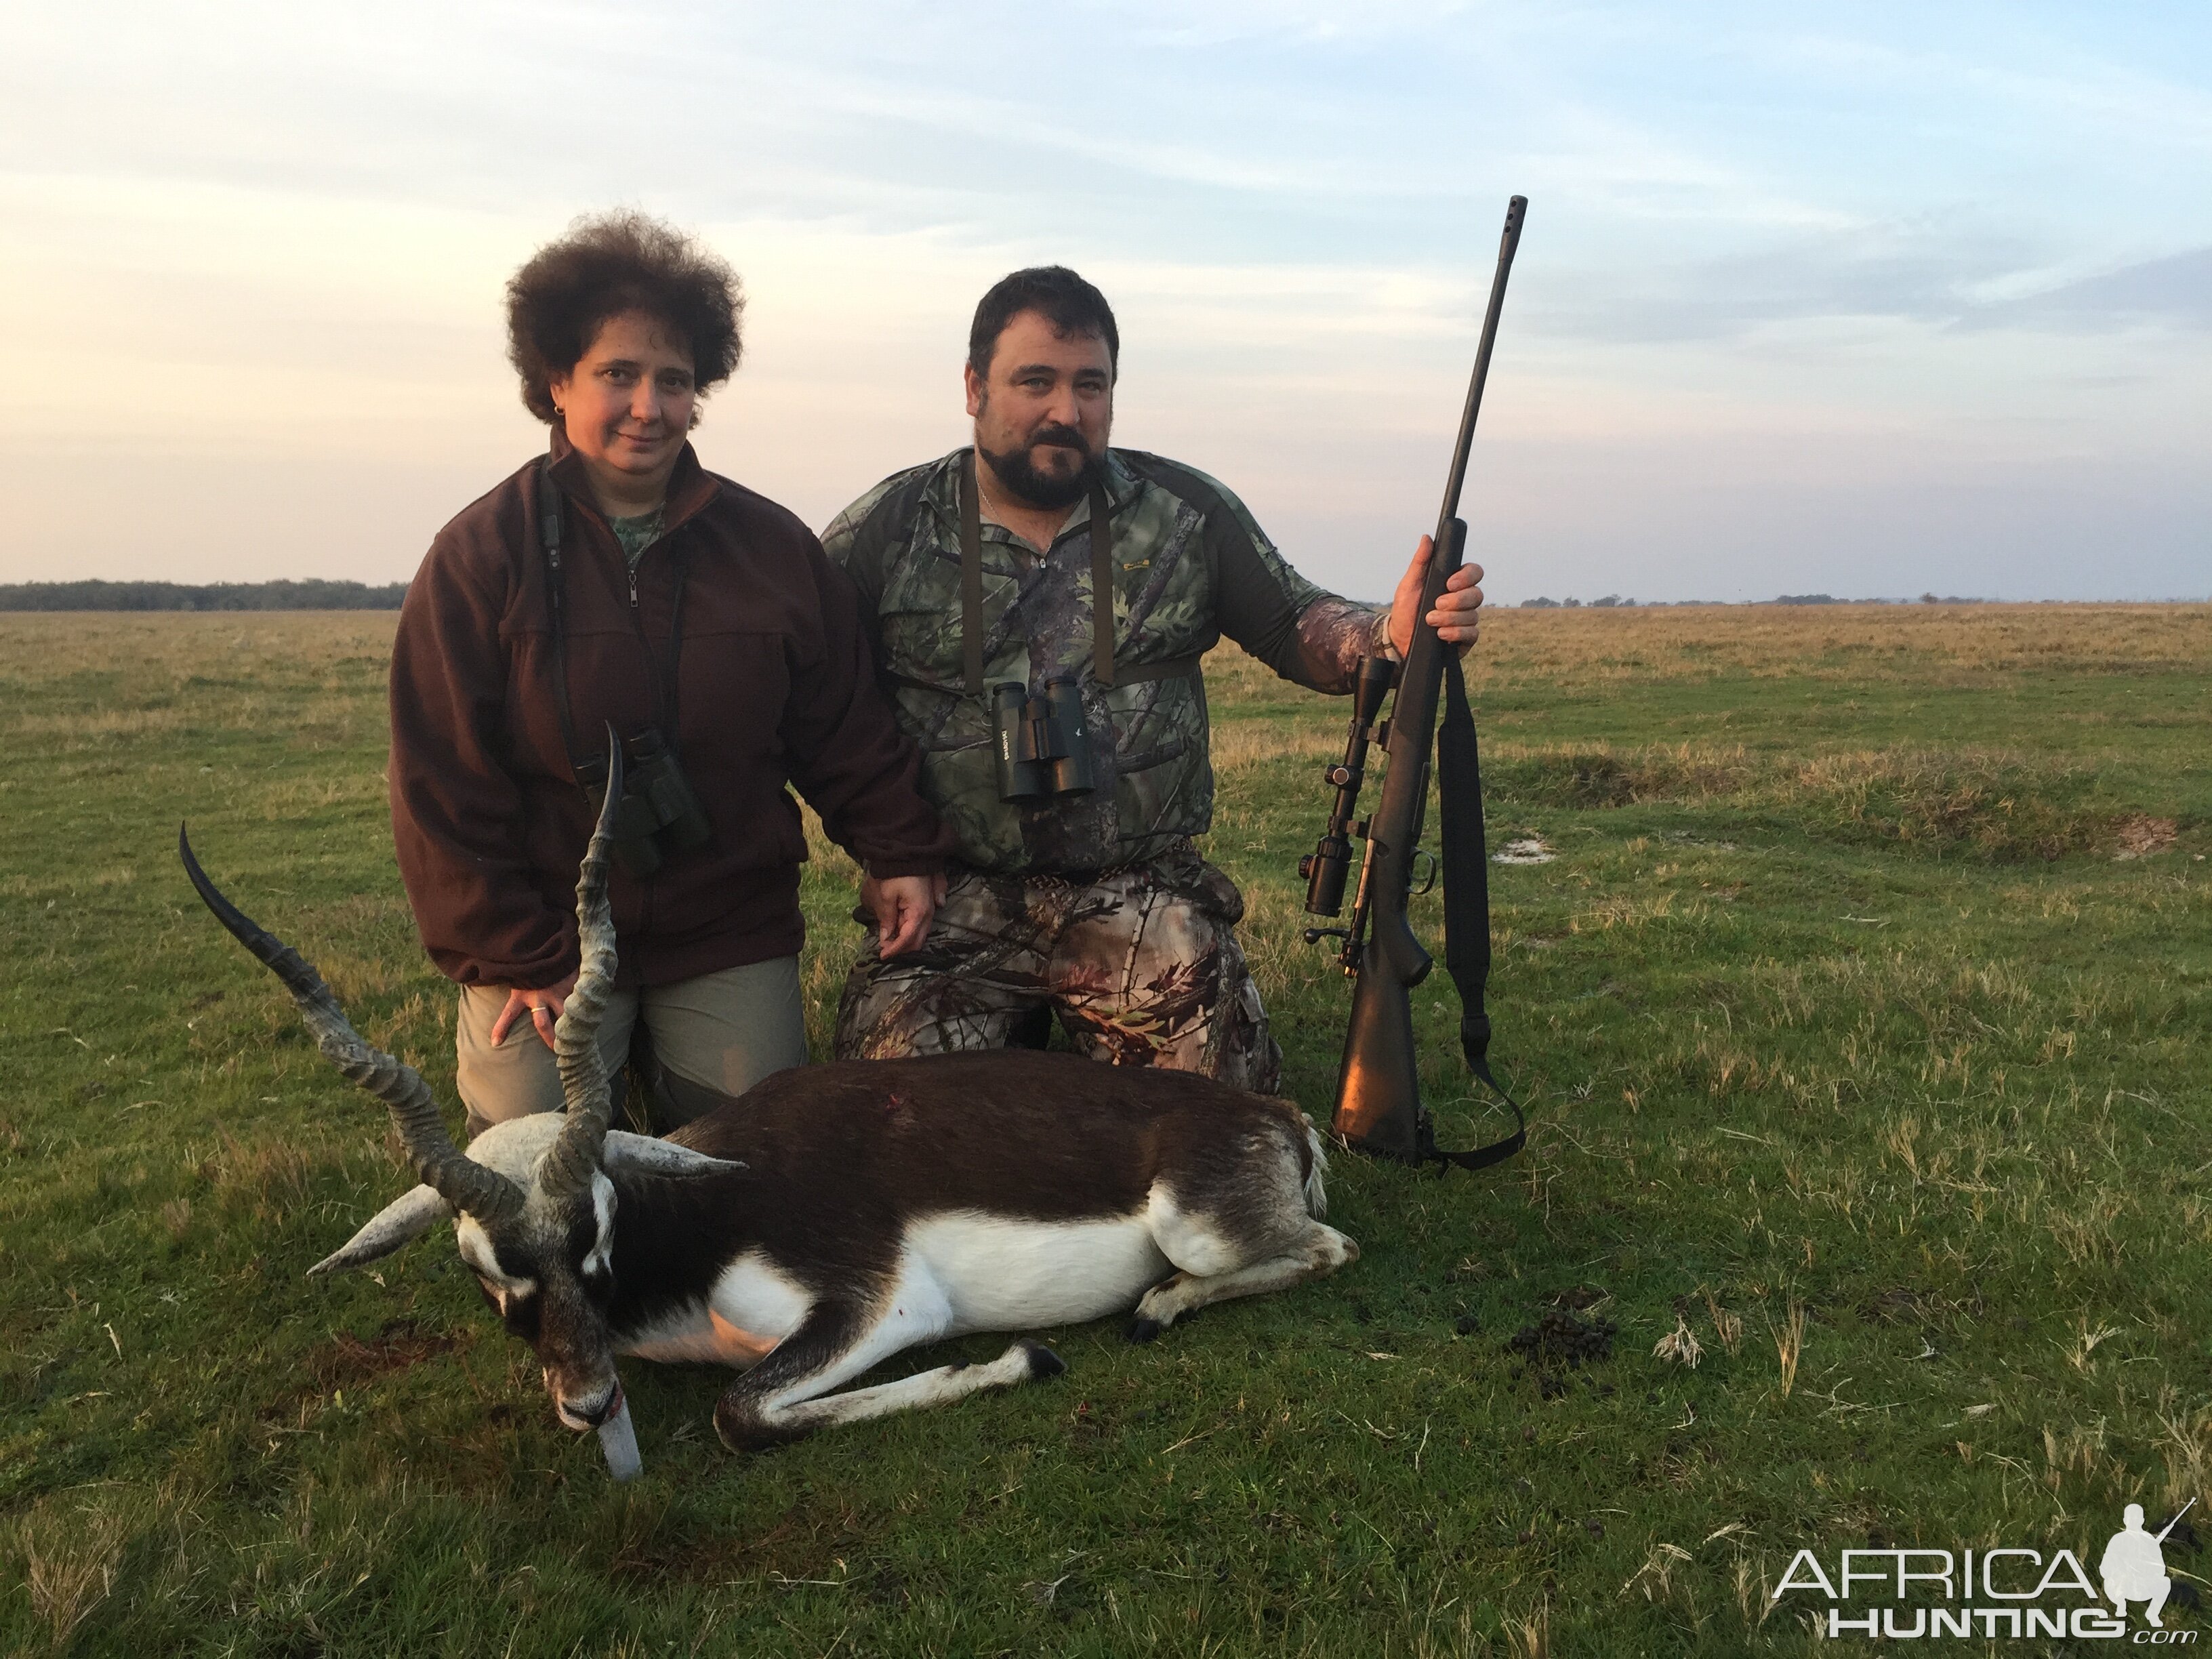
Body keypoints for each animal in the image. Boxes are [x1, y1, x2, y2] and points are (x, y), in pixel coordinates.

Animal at [181, 765, 1353, 1477]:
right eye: (483, 1266)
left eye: (594, 1231)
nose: (589, 1406)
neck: (692, 1234)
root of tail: (1276, 1114)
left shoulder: (877, 1307)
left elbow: (741, 1414)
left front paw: (1022, 1362)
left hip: (1196, 1226)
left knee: (1323, 1250)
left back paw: (1159, 1307)